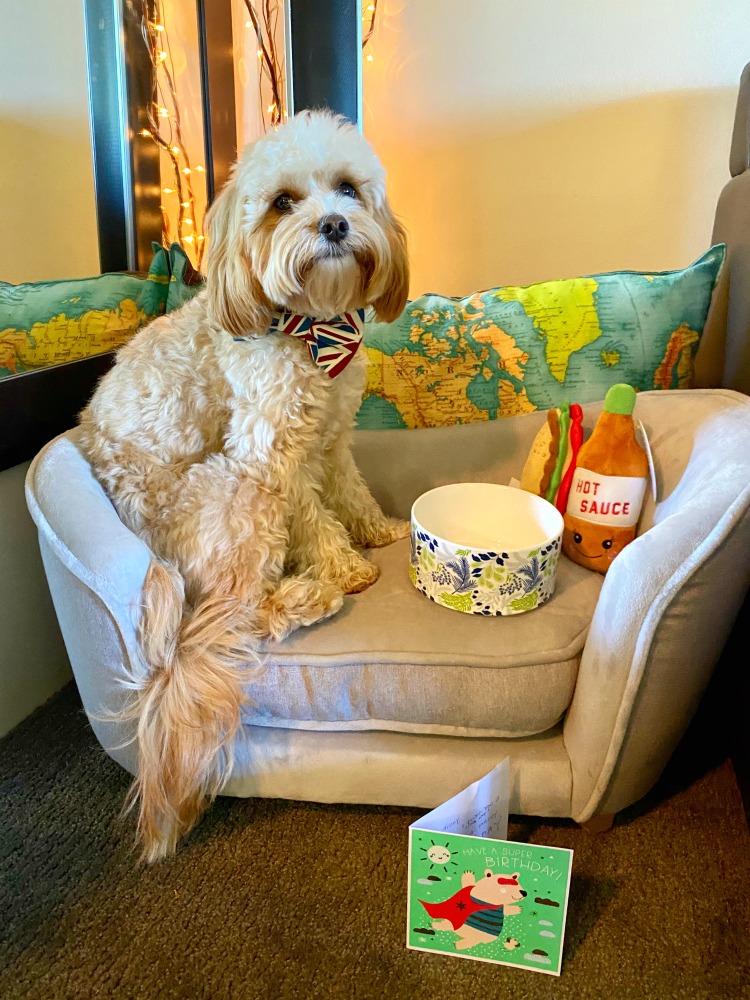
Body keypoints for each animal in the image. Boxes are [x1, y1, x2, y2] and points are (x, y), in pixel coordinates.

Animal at [80, 109, 412, 860]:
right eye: (284, 202)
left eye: (348, 189)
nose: (334, 225)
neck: (312, 327)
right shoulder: (272, 456)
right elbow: (314, 518)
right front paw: (345, 565)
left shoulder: (332, 436)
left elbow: (349, 488)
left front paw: (376, 530)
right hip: (235, 492)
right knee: (239, 613)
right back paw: (307, 595)